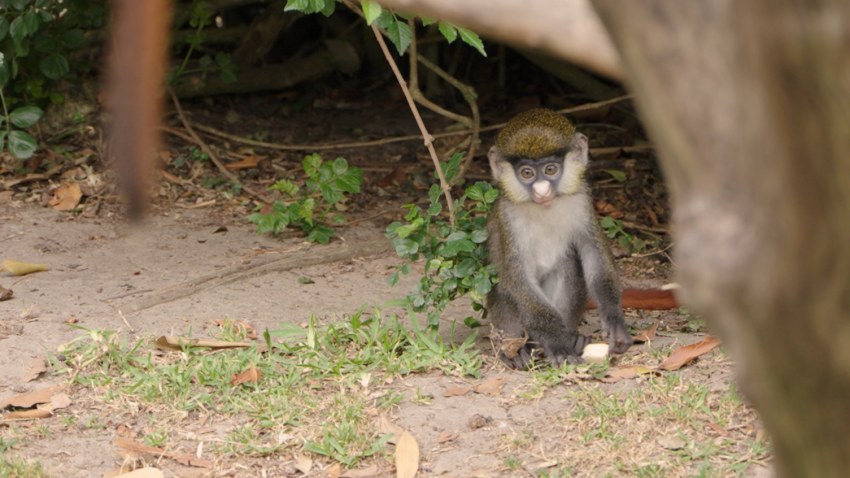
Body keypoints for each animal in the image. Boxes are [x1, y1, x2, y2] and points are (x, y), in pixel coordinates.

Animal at [486, 108, 632, 369]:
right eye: (527, 173)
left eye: (551, 170)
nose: (542, 191)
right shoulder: (508, 219)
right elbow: (518, 280)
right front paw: (557, 344)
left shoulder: (582, 202)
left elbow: (594, 254)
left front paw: (614, 320)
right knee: (504, 287)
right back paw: (516, 348)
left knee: (568, 263)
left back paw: (572, 337)